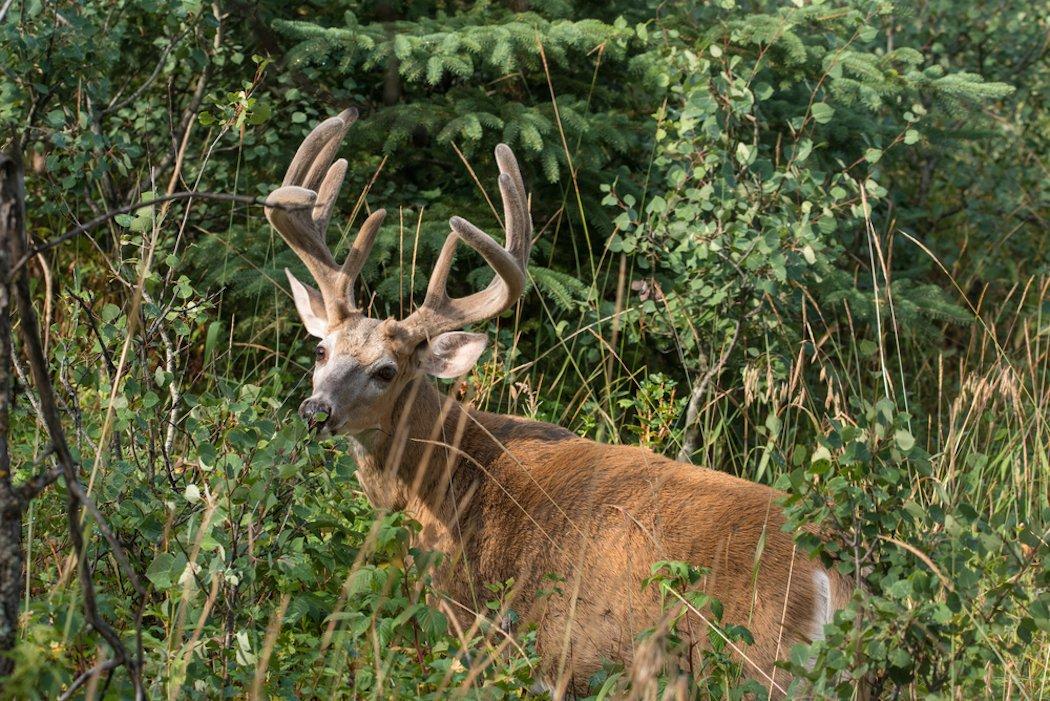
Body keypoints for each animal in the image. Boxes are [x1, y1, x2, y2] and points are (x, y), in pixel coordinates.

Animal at [262, 109, 852, 696]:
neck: (440, 479)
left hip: (752, 665)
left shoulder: (464, 622)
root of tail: (830, 573)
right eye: (320, 349)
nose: (316, 411)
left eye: (386, 371)